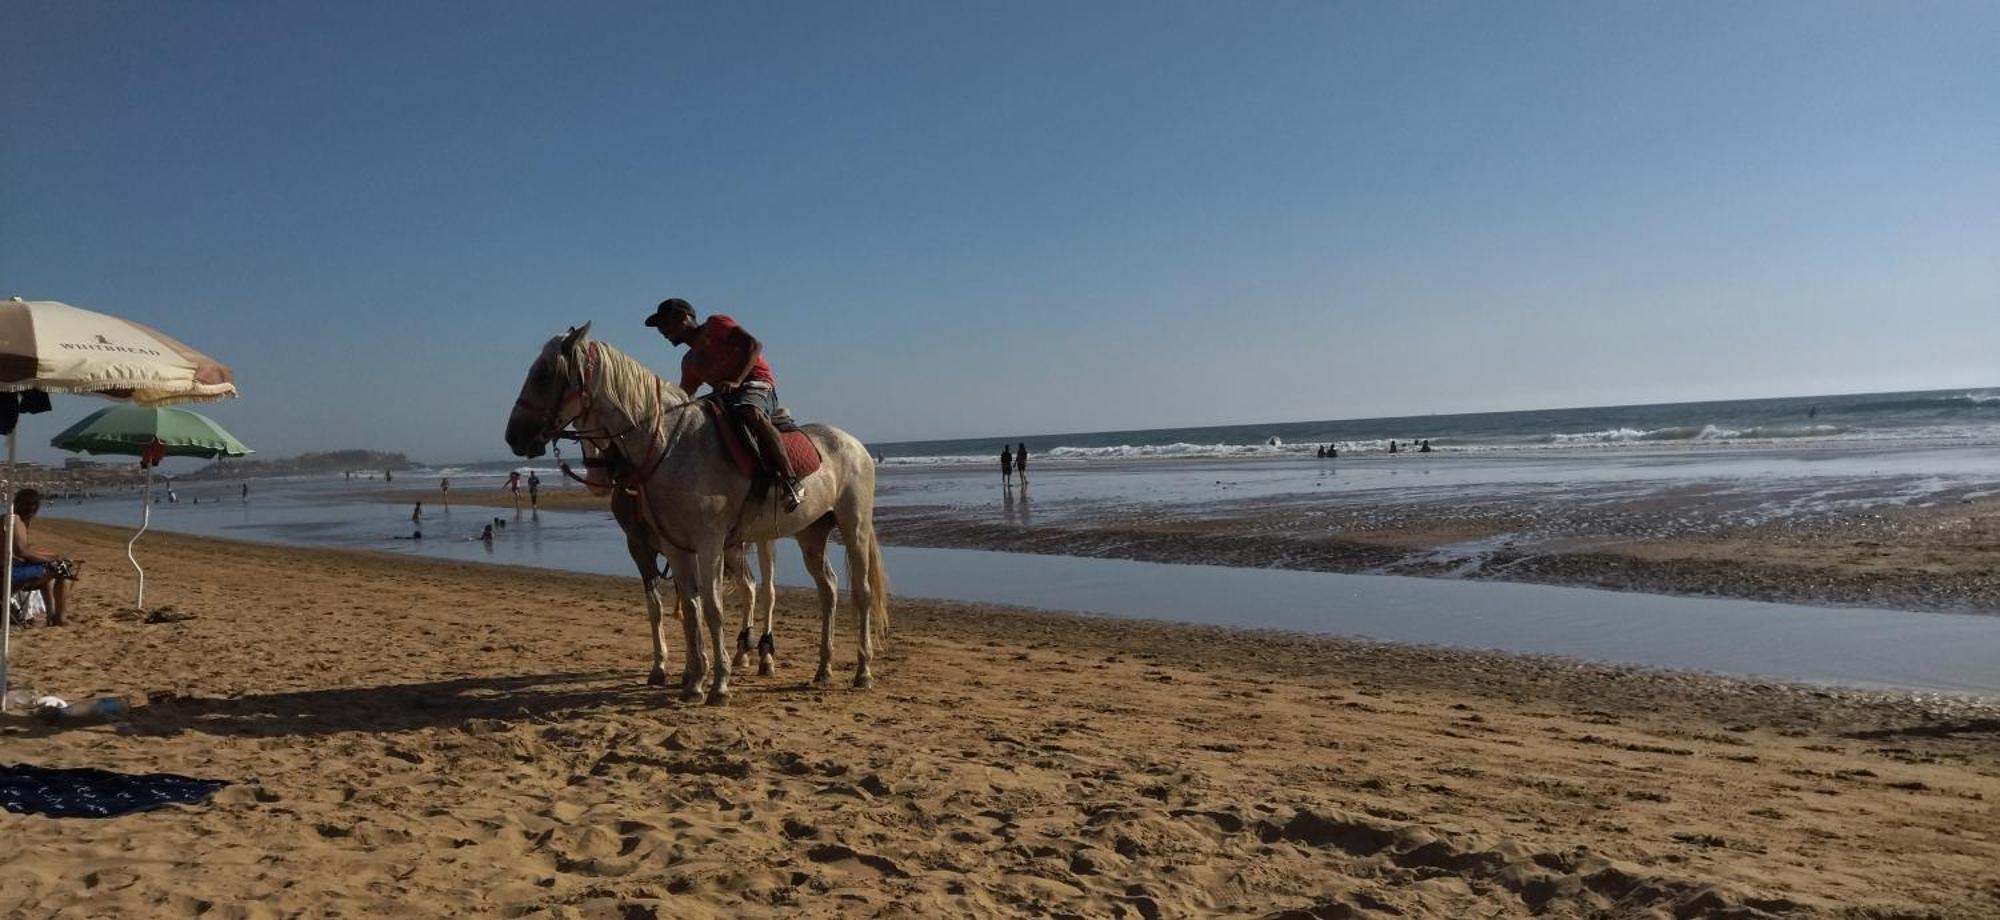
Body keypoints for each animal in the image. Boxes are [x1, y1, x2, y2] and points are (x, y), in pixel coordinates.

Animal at [508, 324, 892, 704]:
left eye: (544, 374)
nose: (514, 436)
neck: (670, 446)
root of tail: (855, 444)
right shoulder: (675, 547)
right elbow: (689, 609)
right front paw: (693, 682)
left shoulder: (709, 543)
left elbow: (712, 607)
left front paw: (719, 684)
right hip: (810, 533)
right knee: (828, 589)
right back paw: (823, 669)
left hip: (853, 526)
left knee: (859, 592)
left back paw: (862, 671)